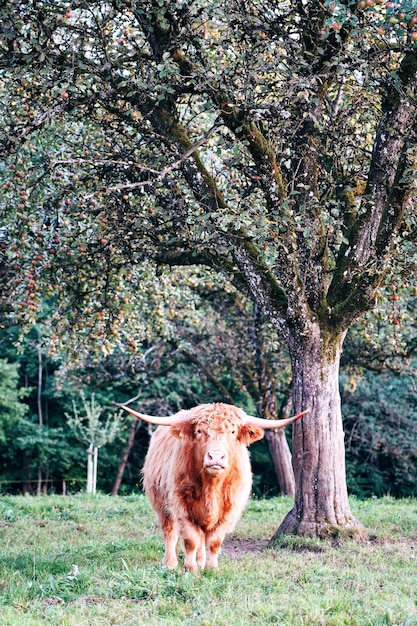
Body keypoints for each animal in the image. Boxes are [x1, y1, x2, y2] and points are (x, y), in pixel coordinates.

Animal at [120, 400, 306, 572]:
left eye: (233, 432)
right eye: (199, 431)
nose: (216, 457)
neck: (211, 487)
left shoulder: (229, 509)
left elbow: (214, 541)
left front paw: (211, 568)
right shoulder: (182, 505)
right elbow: (190, 539)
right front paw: (190, 568)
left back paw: (201, 561)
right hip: (161, 504)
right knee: (170, 532)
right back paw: (170, 563)